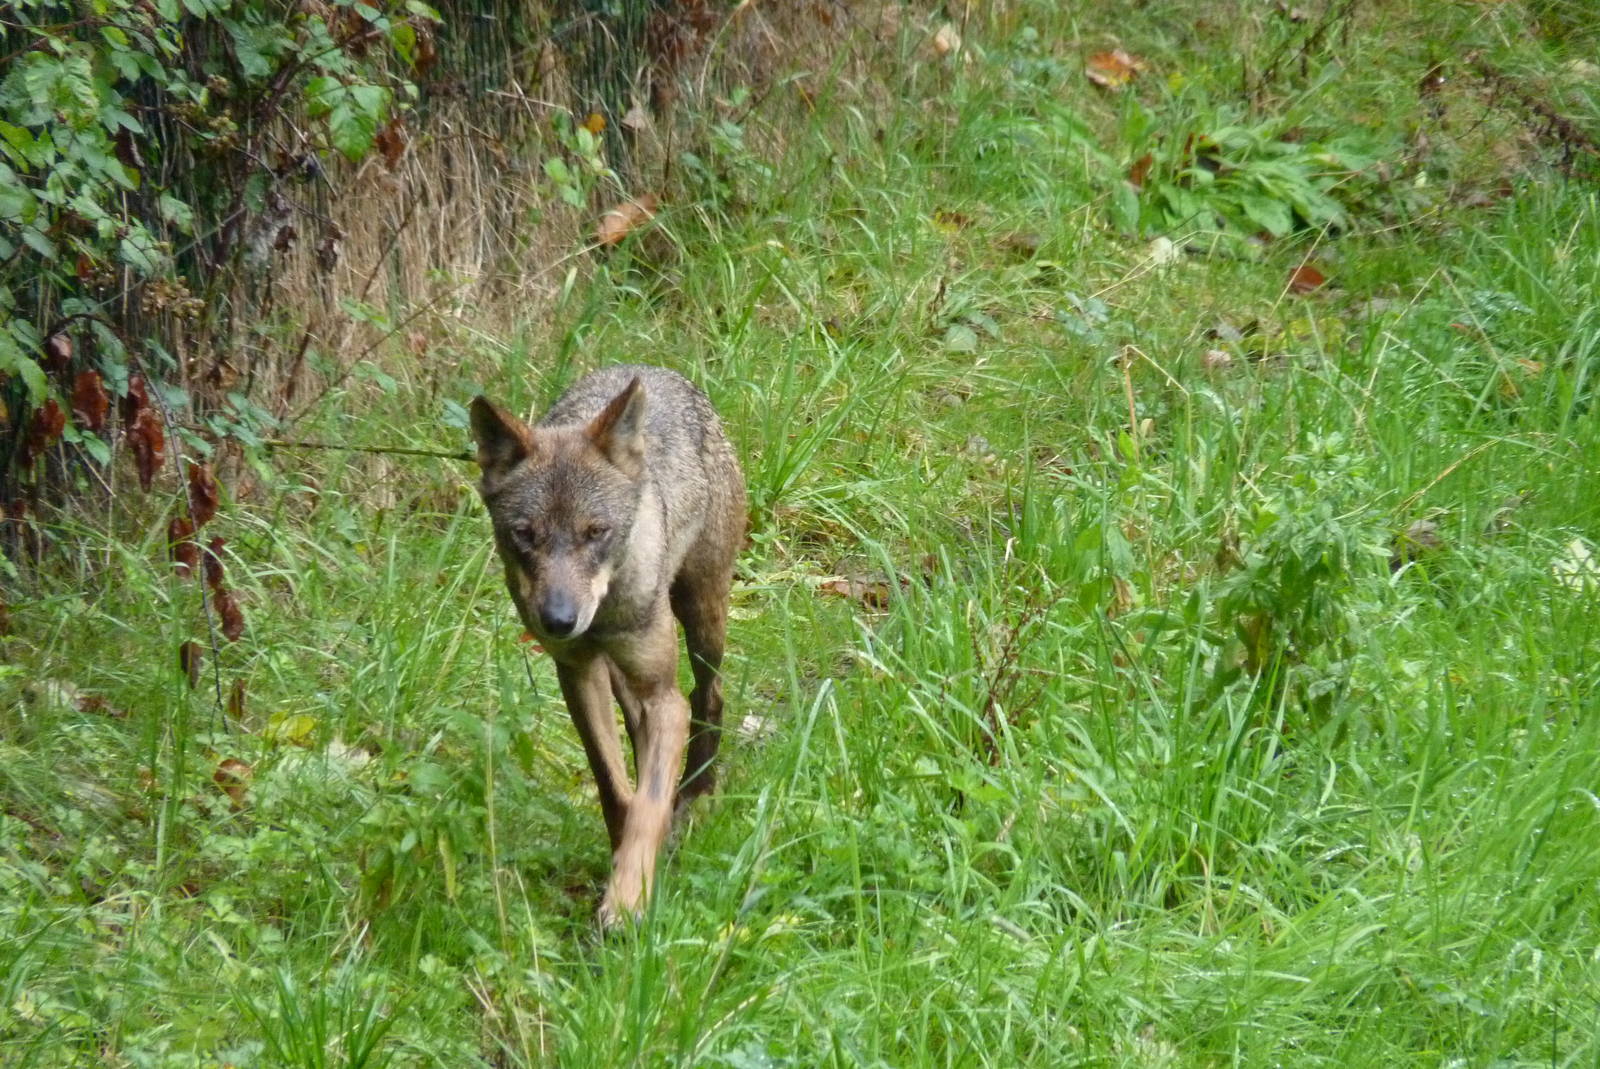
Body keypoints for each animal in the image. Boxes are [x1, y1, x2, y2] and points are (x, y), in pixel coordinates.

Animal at [469, 365, 746, 925]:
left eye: (596, 532)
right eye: (524, 534)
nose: (558, 620)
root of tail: (655, 370)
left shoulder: (663, 697)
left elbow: (648, 805)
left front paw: (627, 900)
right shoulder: (579, 675)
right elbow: (616, 791)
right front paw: (623, 869)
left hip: (701, 617)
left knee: (709, 696)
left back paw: (698, 797)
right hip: (621, 676)